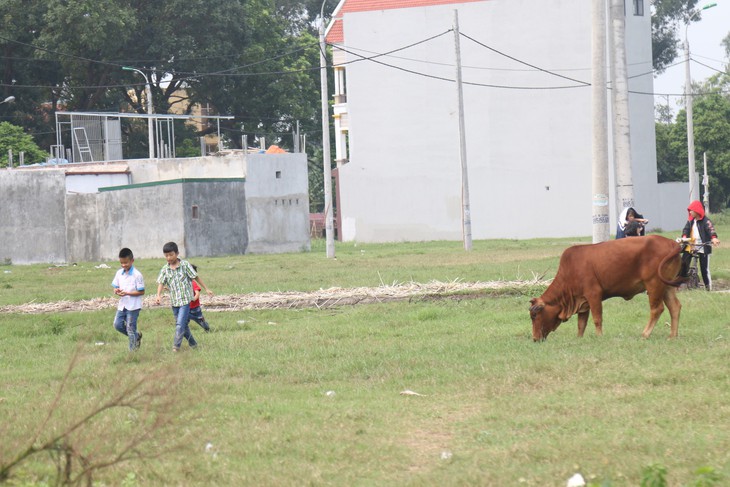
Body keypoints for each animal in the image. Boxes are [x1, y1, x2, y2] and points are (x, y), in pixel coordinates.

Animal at [528, 234, 684, 342]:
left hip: (654, 284)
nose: (535, 339)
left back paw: (645, 334)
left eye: (534, 315)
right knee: (674, 307)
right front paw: (579, 338)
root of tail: (671, 243)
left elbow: (597, 318)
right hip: (667, 286)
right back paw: (673, 336)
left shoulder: (593, 294)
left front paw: (599, 337)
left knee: (657, 309)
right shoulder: (583, 301)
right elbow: (581, 323)